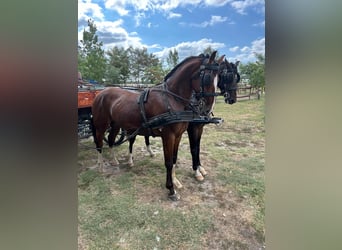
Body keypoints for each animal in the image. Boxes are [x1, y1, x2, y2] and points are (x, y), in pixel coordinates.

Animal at [91, 50, 220, 199]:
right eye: (208, 77)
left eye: (218, 78)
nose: (208, 108)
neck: (172, 98)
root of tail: (101, 93)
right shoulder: (168, 136)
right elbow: (168, 162)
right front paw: (171, 190)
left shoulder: (178, 136)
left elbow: (174, 159)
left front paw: (176, 182)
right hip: (101, 125)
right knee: (99, 143)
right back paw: (101, 166)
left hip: (116, 125)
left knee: (111, 140)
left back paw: (115, 161)